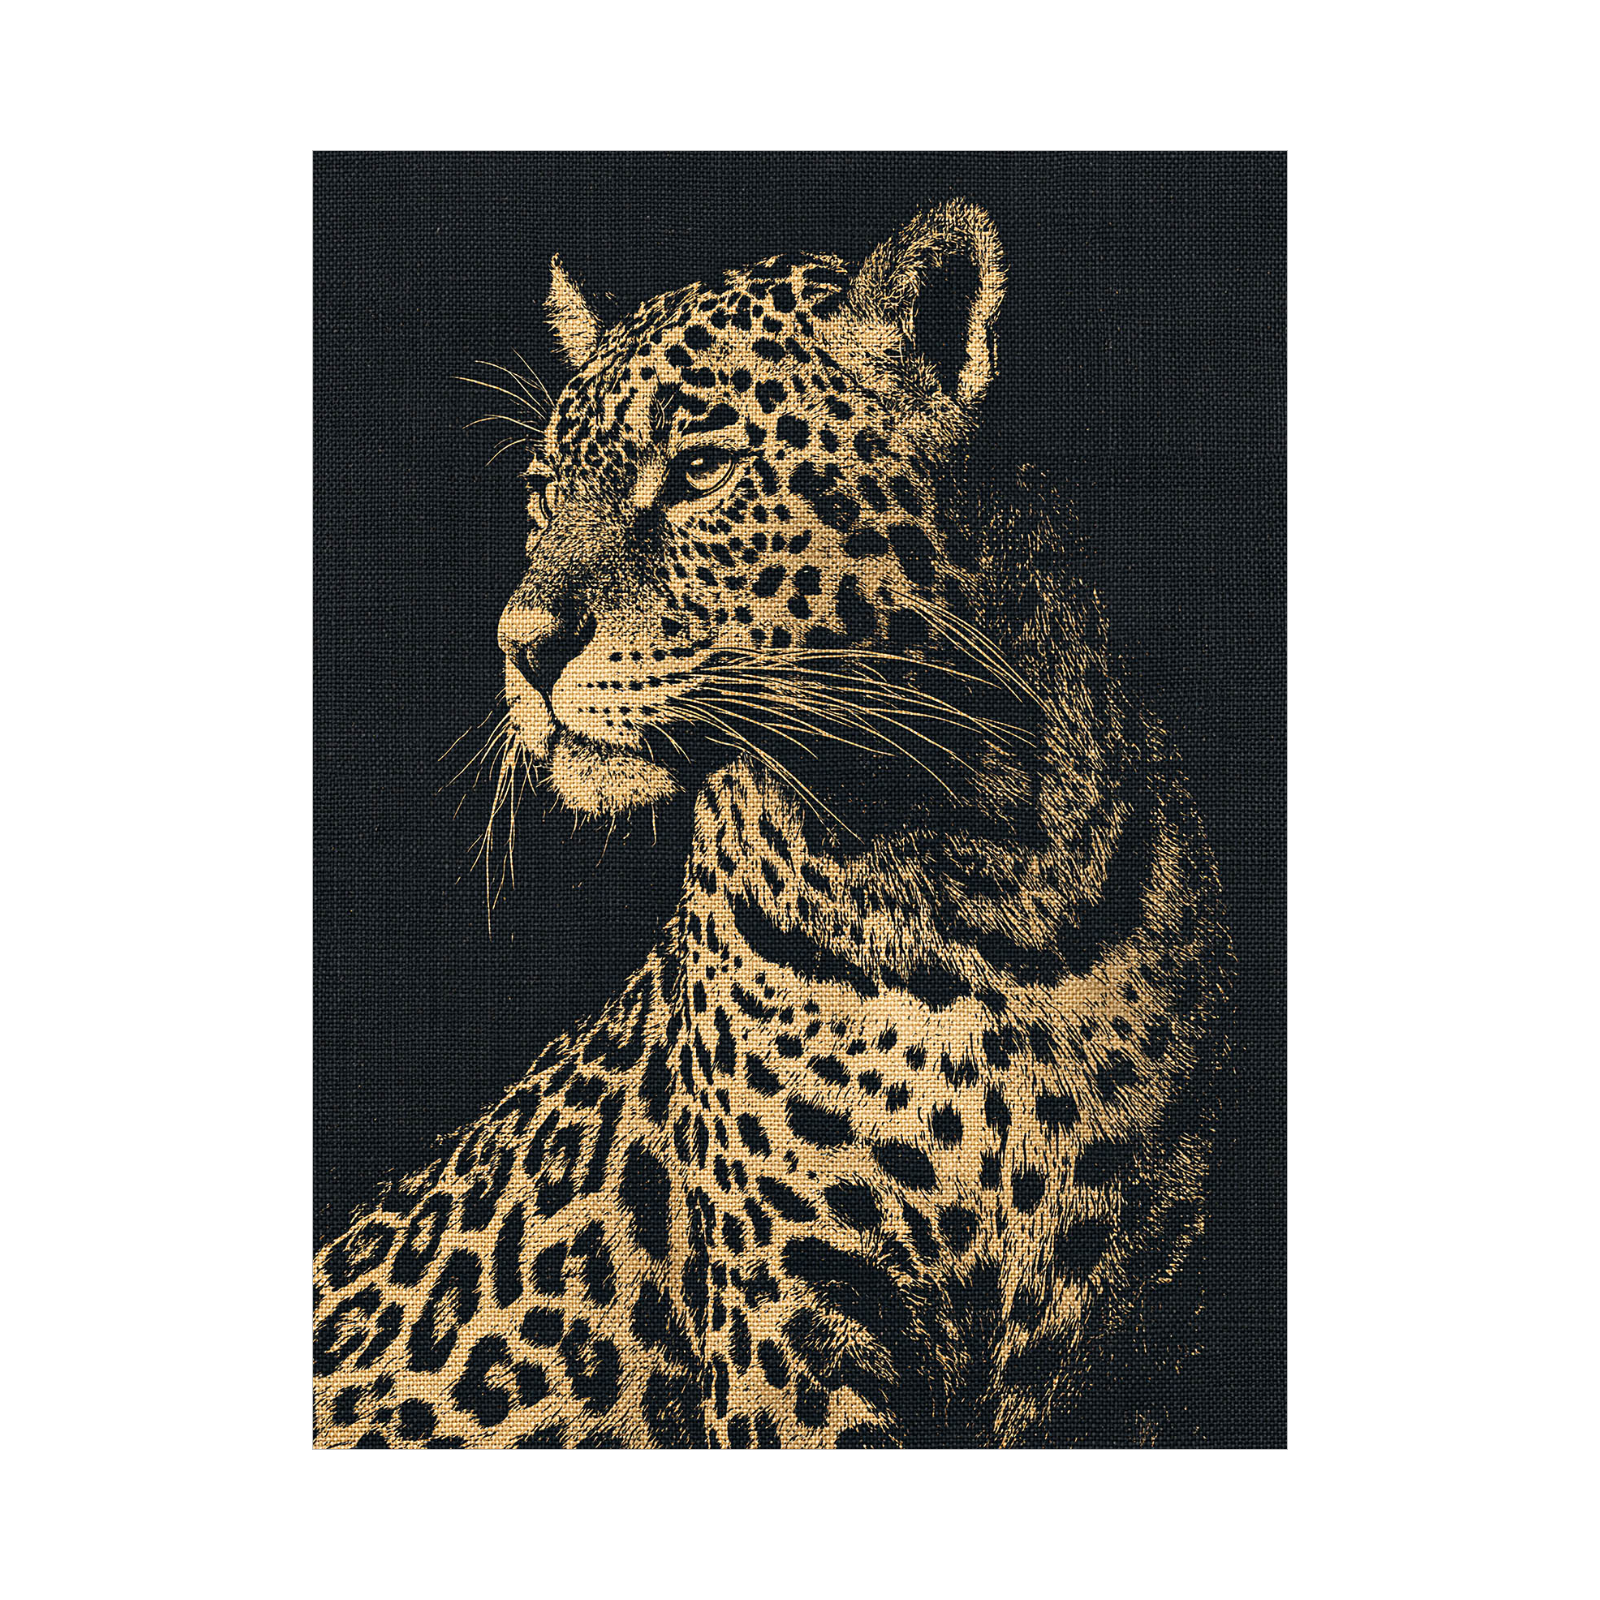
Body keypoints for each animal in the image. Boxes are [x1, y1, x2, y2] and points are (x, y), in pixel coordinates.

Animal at [313, 200, 1233, 1448]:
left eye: (700, 471)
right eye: (544, 495)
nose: (521, 647)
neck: (962, 864)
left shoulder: (1140, 1328)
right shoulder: (793, 1306)